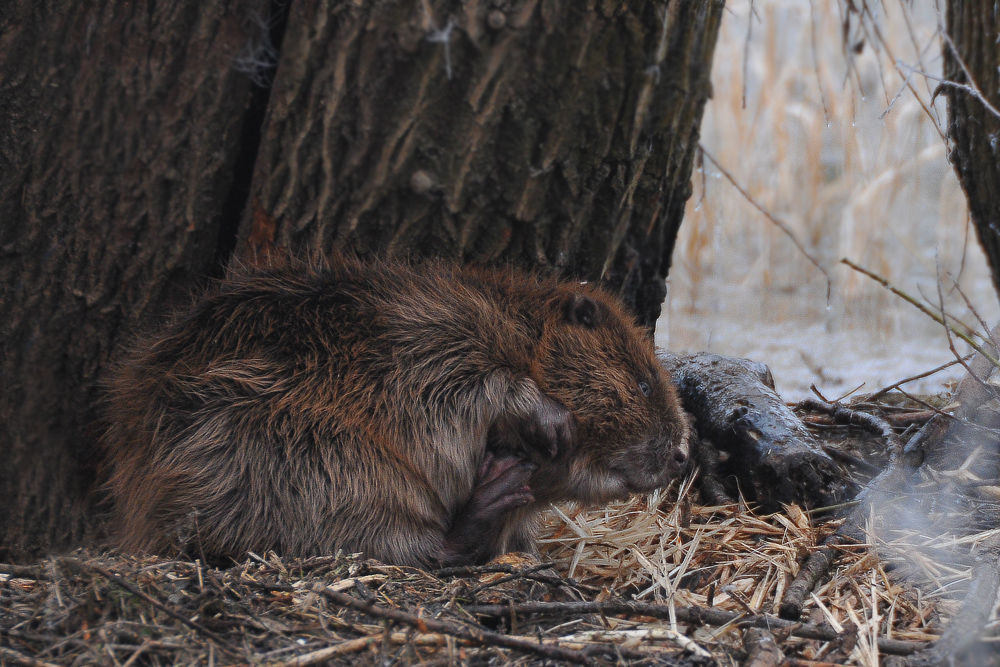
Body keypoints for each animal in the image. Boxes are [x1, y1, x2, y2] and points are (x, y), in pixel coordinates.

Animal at [103, 258, 696, 568]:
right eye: (643, 384)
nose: (680, 455)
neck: (516, 328)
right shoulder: (429, 330)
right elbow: (474, 379)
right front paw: (552, 423)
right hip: (306, 455)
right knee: (417, 544)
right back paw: (497, 489)